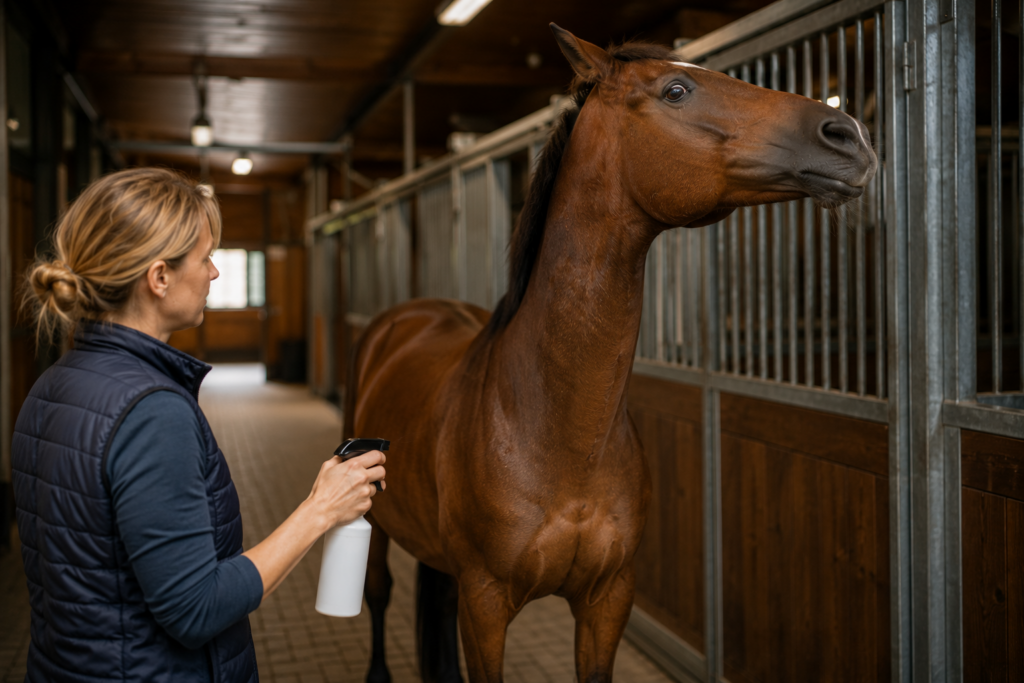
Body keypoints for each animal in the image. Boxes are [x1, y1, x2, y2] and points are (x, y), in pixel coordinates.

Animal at [344, 24, 876, 683]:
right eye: (676, 90)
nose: (848, 135)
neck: (556, 436)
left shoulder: (608, 600)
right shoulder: (485, 605)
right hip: (373, 521)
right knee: (378, 593)